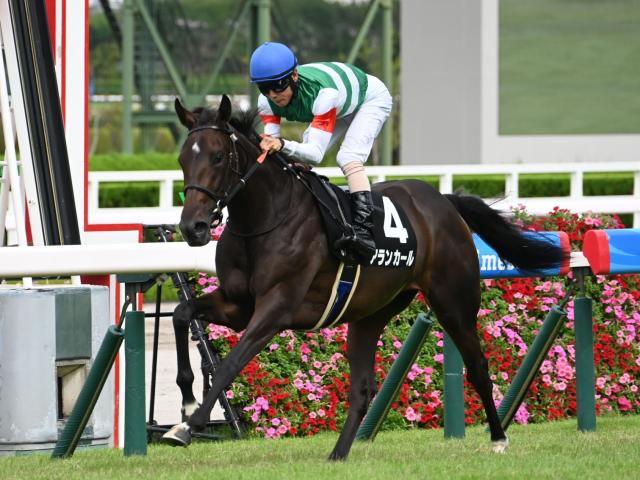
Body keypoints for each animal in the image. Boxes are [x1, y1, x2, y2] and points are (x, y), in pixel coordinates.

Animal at [162, 94, 567, 460]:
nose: (193, 227)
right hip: (370, 315)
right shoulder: (237, 305)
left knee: (478, 367)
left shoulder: (276, 308)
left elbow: (231, 363)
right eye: (182, 159)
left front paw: (188, 425)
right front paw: (186, 403)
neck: (264, 220)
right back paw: (338, 455)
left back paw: (498, 439)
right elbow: (182, 315)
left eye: (217, 157)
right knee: (362, 388)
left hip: (453, 303)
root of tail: (444, 202)